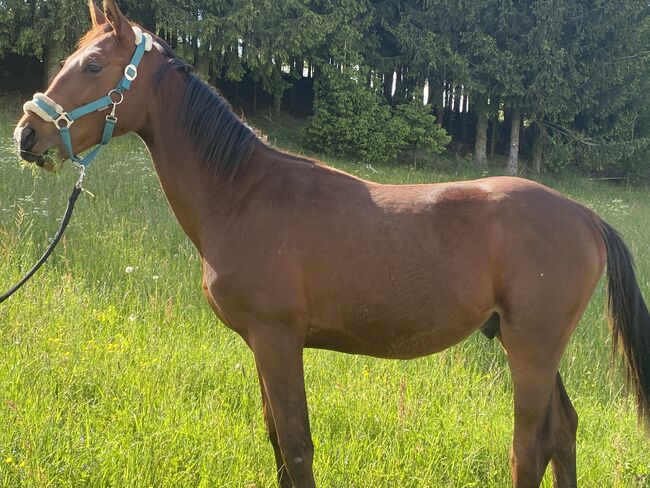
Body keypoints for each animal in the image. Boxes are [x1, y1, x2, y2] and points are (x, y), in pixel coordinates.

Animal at [11, 1, 648, 486]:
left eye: (94, 64)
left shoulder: (278, 339)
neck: (244, 193)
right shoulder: (261, 345)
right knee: (563, 433)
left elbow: (296, 446)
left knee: (530, 449)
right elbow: (278, 443)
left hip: (532, 351)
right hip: (531, 346)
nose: (27, 134)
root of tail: (586, 216)